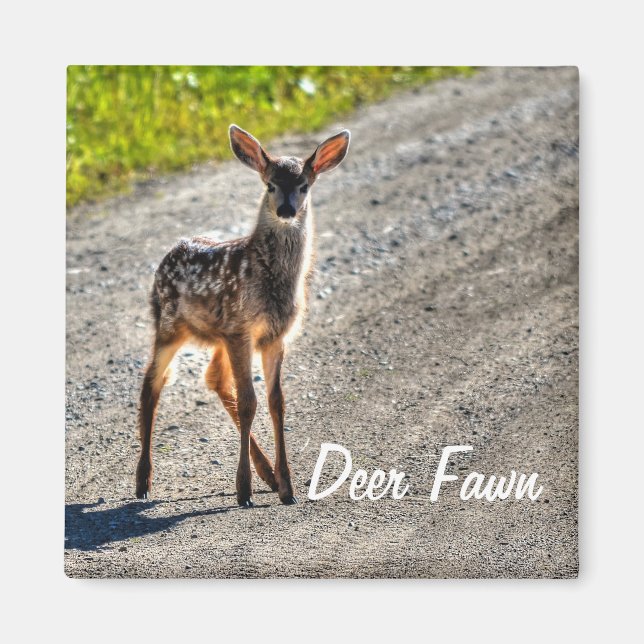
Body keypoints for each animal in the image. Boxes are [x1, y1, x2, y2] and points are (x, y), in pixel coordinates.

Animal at [136, 124, 351, 507]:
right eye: (270, 185)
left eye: (304, 186)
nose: (286, 209)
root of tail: (171, 251)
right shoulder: (242, 329)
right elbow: (250, 401)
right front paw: (244, 490)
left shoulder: (273, 336)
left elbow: (276, 402)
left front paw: (287, 487)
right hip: (169, 325)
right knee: (152, 384)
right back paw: (143, 482)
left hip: (218, 337)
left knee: (214, 380)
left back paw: (267, 475)